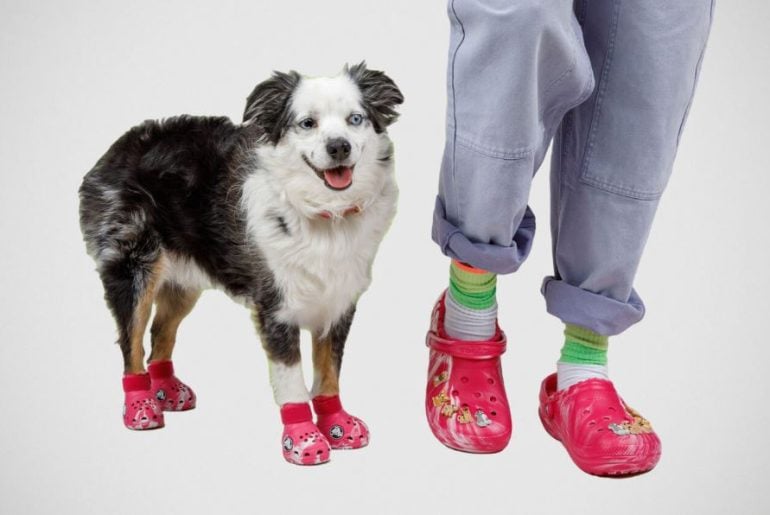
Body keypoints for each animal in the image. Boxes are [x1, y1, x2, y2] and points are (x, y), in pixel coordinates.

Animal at [78, 62, 402, 466]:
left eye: (355, 119)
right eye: (307, 123)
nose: (338, 146)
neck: (324, 214)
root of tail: (117, 146)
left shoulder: (338, 302)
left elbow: (329, 371)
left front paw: (336, 422)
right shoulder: (276, 307)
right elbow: (292, 379)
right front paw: (303, 438)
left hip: (184, 281)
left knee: (160, 332)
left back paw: (166, 391)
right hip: (134, 267)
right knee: (132, 341)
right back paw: (141, 405)